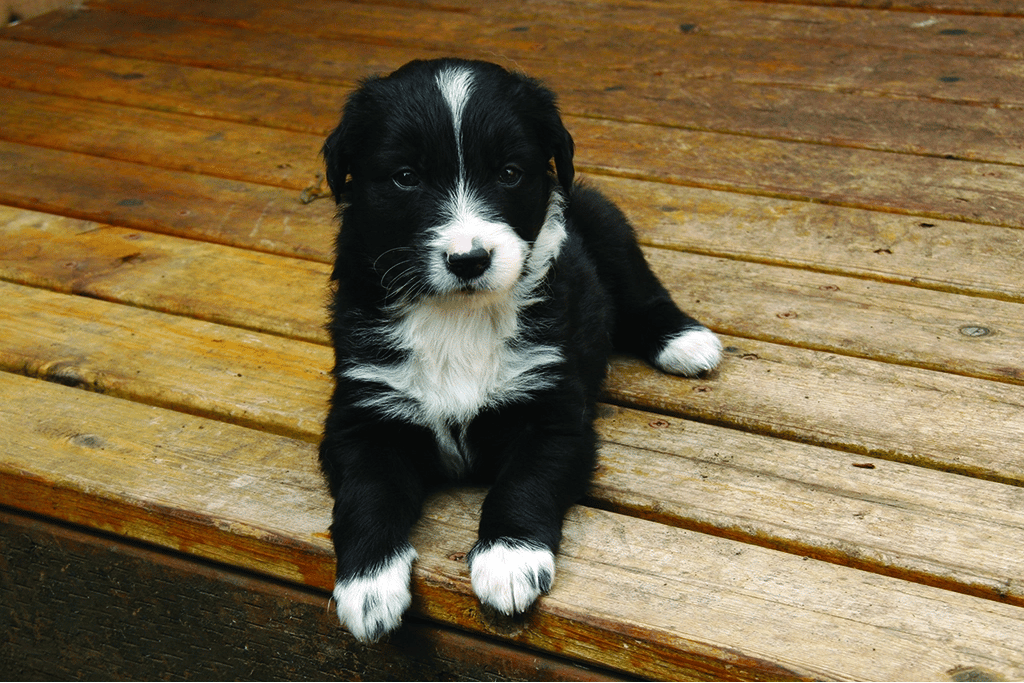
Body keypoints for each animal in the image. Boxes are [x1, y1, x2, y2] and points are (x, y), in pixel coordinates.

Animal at [317, 57, 720, 643]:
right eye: (405, 177)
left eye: (509, 173)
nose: (469, 260)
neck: (458, 318)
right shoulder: (362, 416)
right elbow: (367, 494)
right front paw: (368, 587)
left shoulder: (552, 414)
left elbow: (524, 482)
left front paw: (508, 561)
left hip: (603, 218)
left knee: (644, 294)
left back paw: (686, 341)